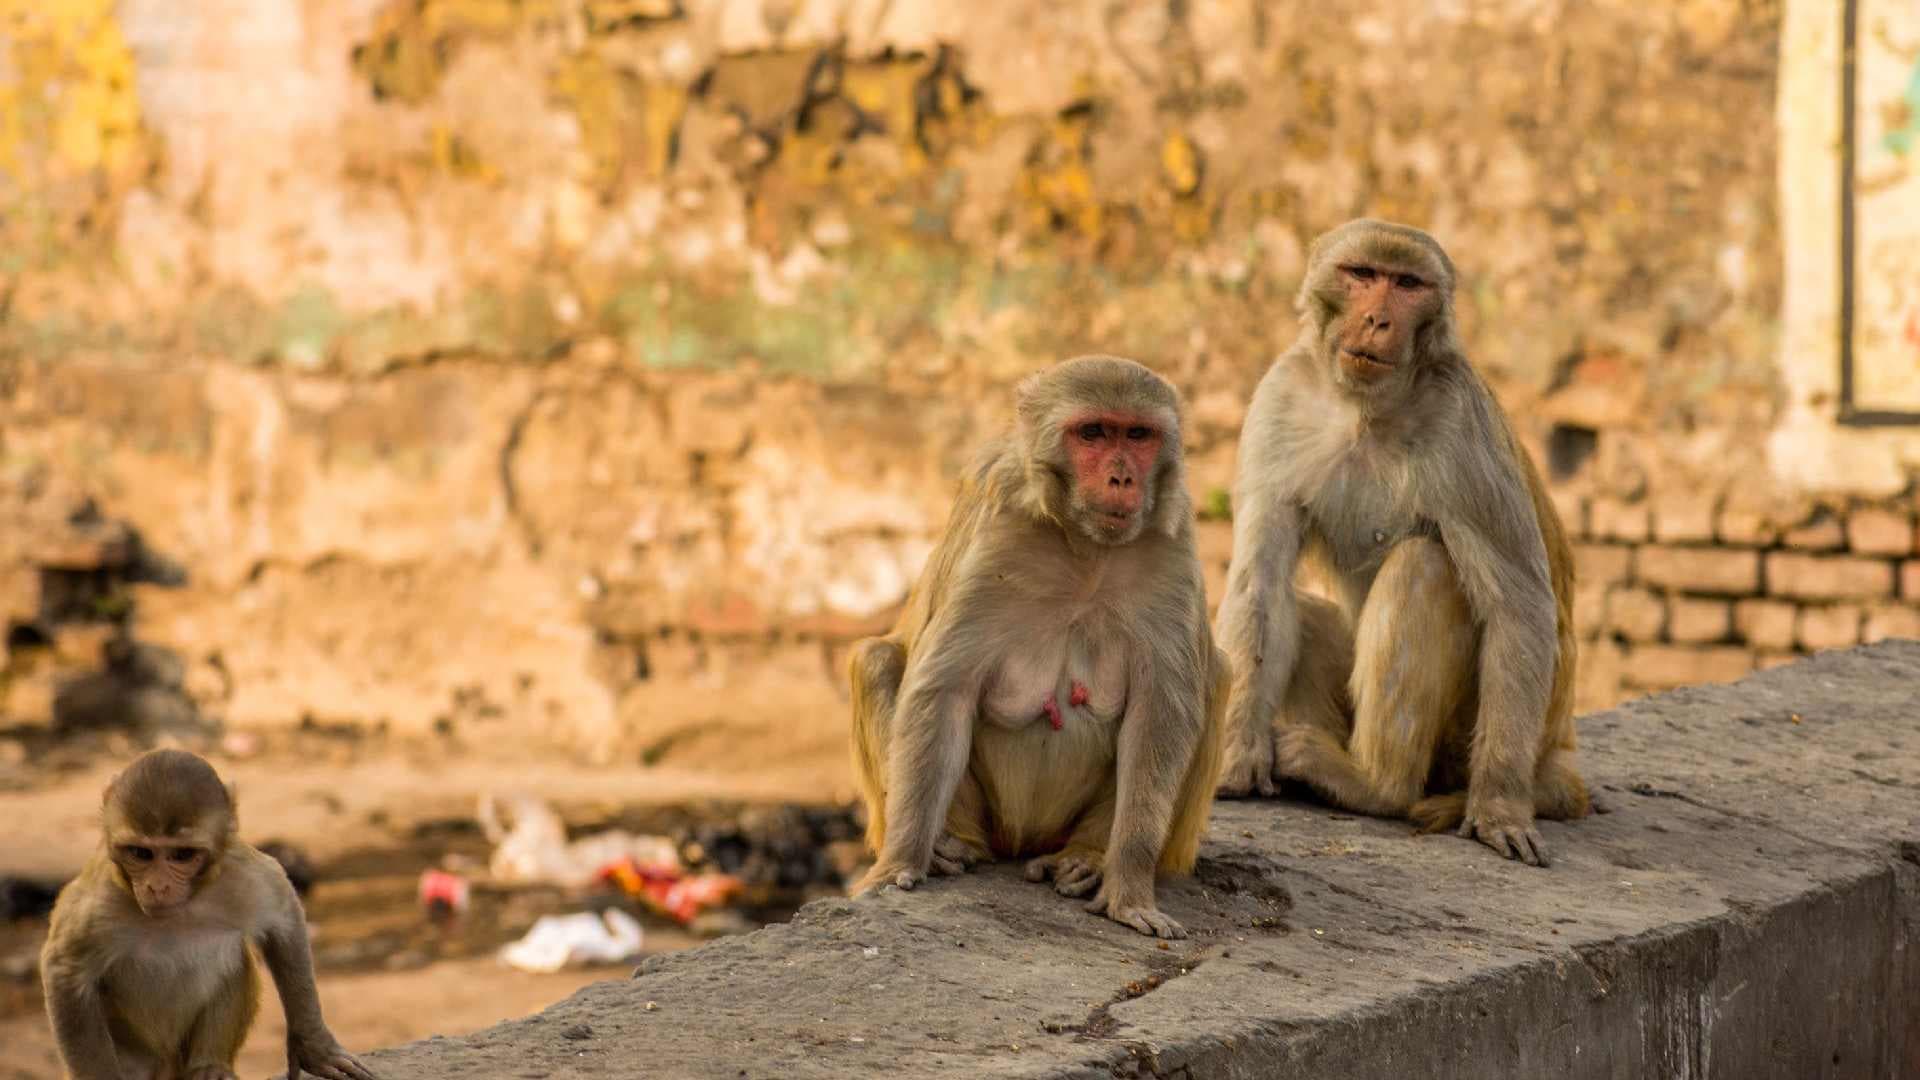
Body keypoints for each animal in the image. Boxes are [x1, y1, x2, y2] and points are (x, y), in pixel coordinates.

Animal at [39, 748, 377, 1080]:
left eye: (182, 855)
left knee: (235, 958)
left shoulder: (239, 875)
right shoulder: (98, 903)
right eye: (140, 853)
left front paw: (314, 1046)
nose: (158, 887)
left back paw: (209, 1067)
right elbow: (65, 971)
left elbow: (284, 913)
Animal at [846, 355, 1228, 939]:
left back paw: (1088, 856)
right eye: (1092, 433)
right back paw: (948, 843)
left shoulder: (1173, 543)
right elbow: (945, 692)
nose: (1122, 477)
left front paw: (1129, 888)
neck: (1086, 551)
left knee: (1216, 677)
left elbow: (1161, 713)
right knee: (877, 661)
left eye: (1138, 435)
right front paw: (900, 863)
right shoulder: (997, 534)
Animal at [1211, 219, 1589, 867]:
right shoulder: (1280, 397)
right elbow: (1259, 584)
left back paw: (1374, 785)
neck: (1366, 408)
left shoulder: (1461, 423)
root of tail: (1557, 750)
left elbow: (1517, 609)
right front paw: (1237, 755)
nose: (1377, 320)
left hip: (1467, 741)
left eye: (1408, 285)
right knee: (1300, 606)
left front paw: (1498, 807)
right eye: (1362, 274)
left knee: (1424, 564)